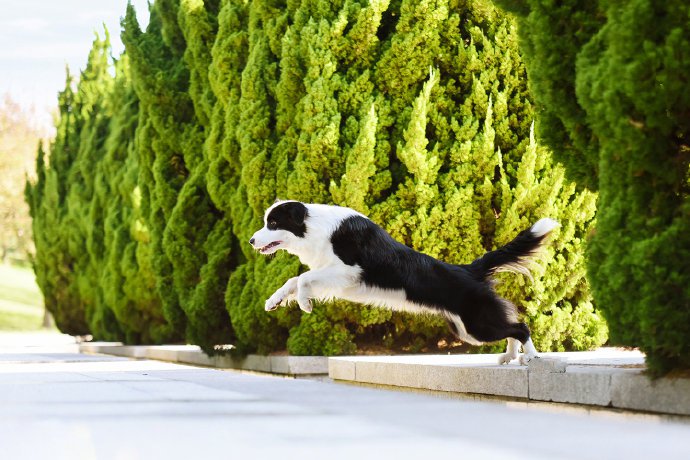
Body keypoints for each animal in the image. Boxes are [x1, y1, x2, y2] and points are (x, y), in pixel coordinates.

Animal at [250, 199, 556, 364]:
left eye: (273, 224)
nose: (252, 240)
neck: (313, 226)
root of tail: (469, 269)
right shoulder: (336, 276)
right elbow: (292, 280)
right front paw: (273, 301)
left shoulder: (348, 269)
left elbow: (303, 277)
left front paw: (305, 303)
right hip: (466, 329)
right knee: (511, 326)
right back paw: (510, 356)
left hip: (477, 325)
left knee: (520, 327)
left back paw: (531, 357)